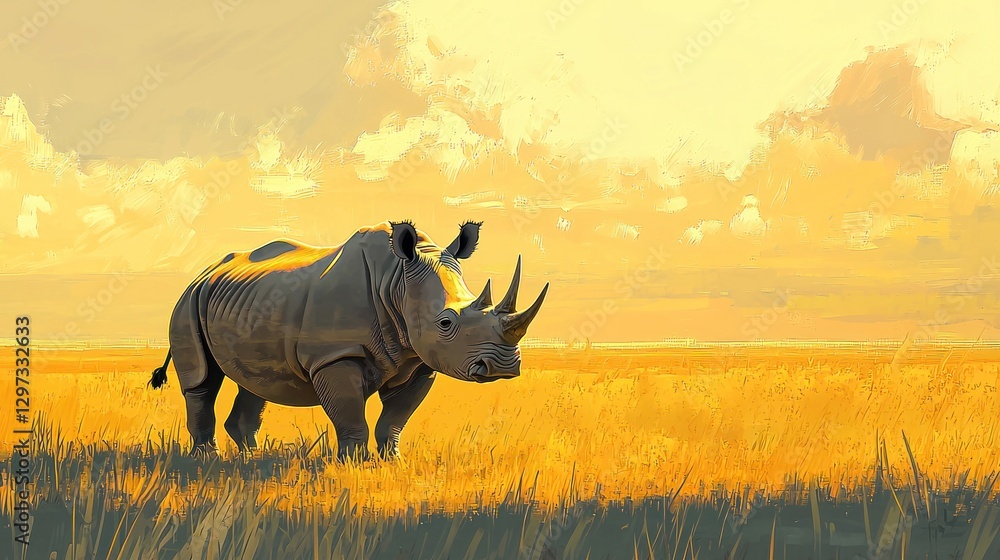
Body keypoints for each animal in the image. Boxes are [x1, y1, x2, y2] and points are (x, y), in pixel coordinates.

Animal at [148, 220, 547, 461]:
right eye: (446, 322)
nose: (503, 367)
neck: (397, 279)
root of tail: (204, 272)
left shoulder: (418, 360)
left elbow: (395, 420)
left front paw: (392, 462)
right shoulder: (335, 355)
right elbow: (352, 416)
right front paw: (352, 465)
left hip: (244, 301)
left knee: (256, 382)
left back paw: (251, 460)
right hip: (187, 304)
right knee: (202, 380)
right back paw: (207, 459)